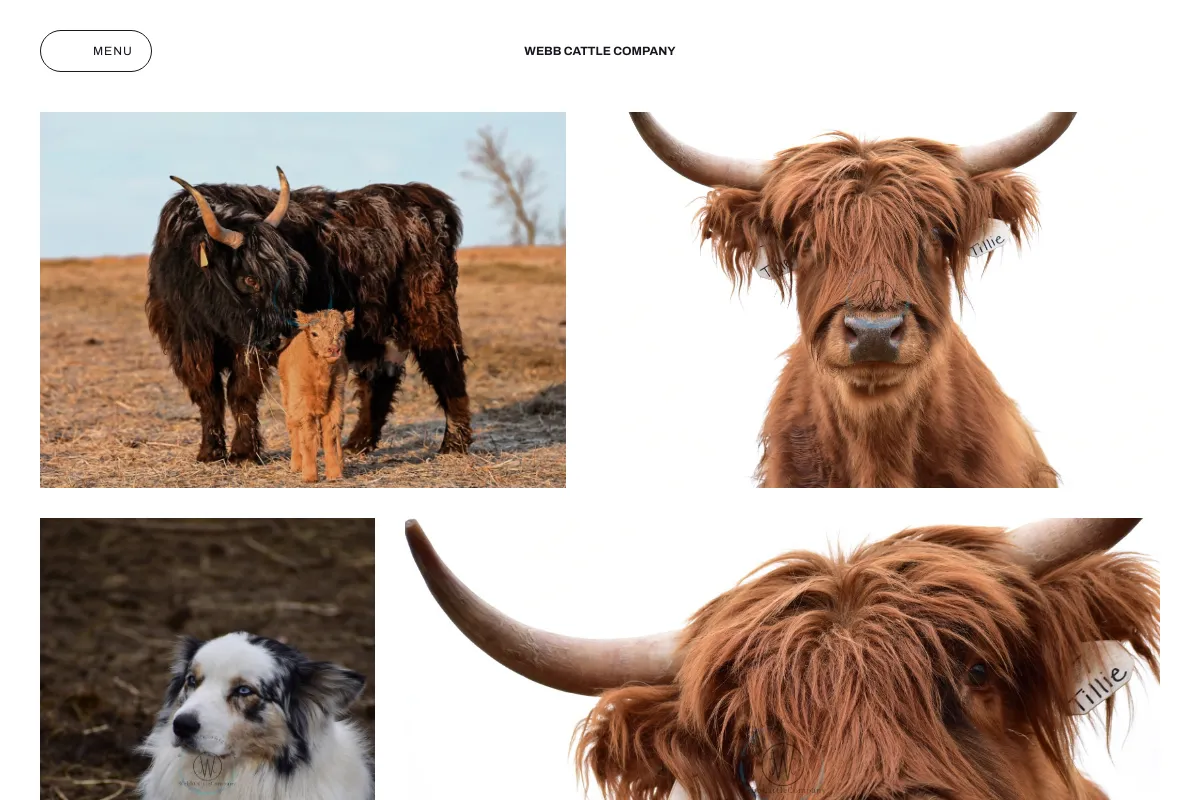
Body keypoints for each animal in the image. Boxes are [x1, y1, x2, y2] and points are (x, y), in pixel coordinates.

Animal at [146, 168, 472, 465]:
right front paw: (210, 453)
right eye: (250, 279)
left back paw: (453, 444)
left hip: (429, 310)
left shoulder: (251, 347)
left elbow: (241, 392)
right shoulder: (187, 343)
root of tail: (422, 197)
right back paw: (356, 444)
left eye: (290, 276)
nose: (281, 337)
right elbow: (207, 396)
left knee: (446, 365)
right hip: (379, 328)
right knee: (381, 376)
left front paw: (243, 453)